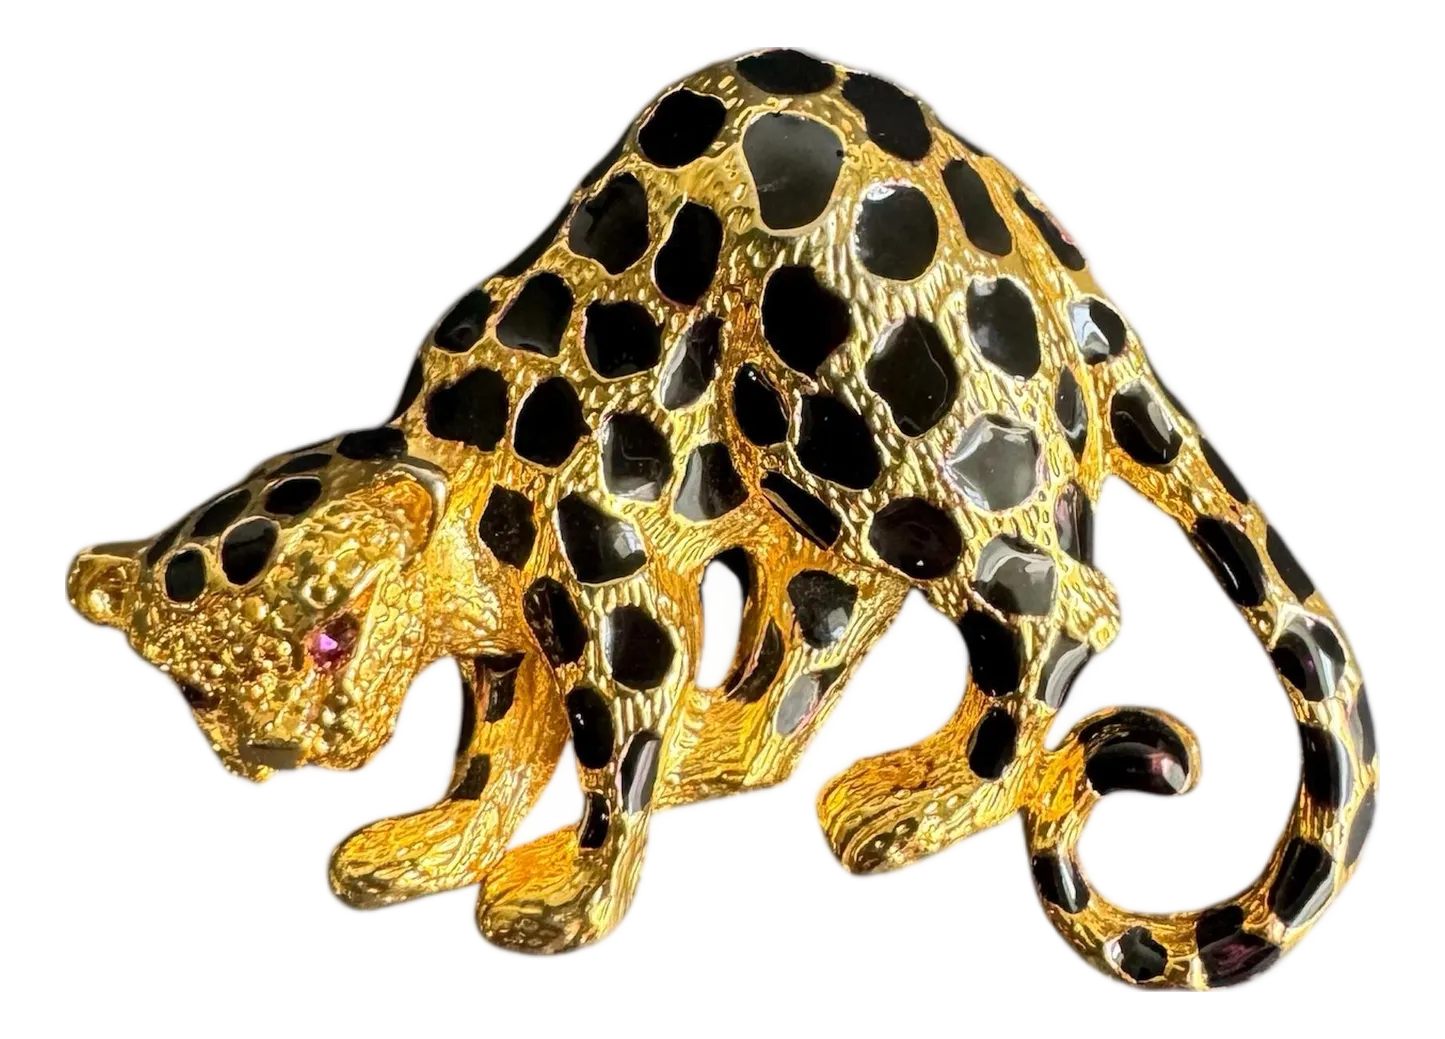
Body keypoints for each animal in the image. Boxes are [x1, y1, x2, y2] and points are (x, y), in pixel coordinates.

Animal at [64, 46, 1377, 988]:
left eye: (330, 635)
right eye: (193, 690)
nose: (274, 753)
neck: (460, 514)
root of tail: (1040, 247)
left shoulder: (612, 599)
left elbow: (606, 756)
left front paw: (559, 894)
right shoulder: (504, 639)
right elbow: (488, 743)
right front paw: (432, 838)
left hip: (865, 429)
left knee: (1048, 601)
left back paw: (914, 800)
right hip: (800, 486)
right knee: (832, 612)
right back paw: (736, 741)